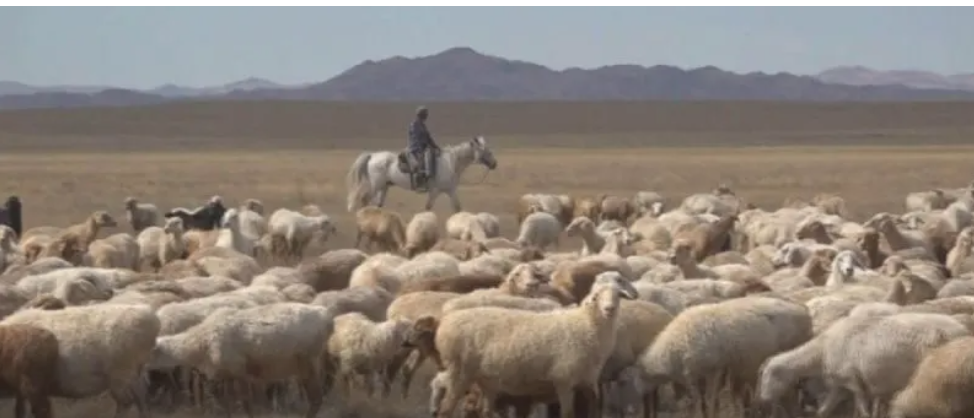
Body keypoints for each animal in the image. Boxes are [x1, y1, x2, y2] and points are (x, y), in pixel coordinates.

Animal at [0, 302, 160, 416]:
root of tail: (149, 316)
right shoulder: (21, 390)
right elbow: (20, 411)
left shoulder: (33, 388)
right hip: (135, 375)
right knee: (142, 401)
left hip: (121, 376)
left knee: (126, 403)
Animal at [346, 136, 500, 212]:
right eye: (487, 151)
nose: (494, 164)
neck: (451, 163)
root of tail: (372, 156)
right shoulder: (435, 191)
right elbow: (428, 207)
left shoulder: (450, 190)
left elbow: (457, 208)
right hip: (376, 185)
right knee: (365, 199)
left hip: (384, 186)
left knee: (378, 204)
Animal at [430, 272, 636, 418]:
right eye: (596, 295)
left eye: (617, 295)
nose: (609, 309)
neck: (587, 325)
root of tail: (445, 322)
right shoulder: (563, 380)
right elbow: (567, 414)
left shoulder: (589, 382)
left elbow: (594, 411)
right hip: (459, 372)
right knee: (446, 410)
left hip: (485, 379)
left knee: (484, 411)